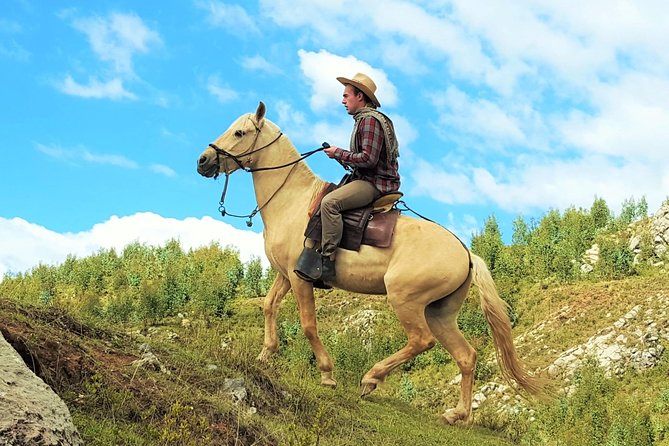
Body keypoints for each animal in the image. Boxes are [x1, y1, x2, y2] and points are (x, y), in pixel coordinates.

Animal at [196, 102, 543, 424]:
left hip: (405, 300)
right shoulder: (285, 275)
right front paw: (265, 355)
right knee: (466, 356)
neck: (291, 200)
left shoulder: (300, 278)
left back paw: (371, 379)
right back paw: (457, 415)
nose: (203, 160)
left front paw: (327, 374)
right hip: (439, 313)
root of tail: (467, 253)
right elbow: (269, 306)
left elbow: (308, 325)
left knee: (421, 341)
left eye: (240, 132)